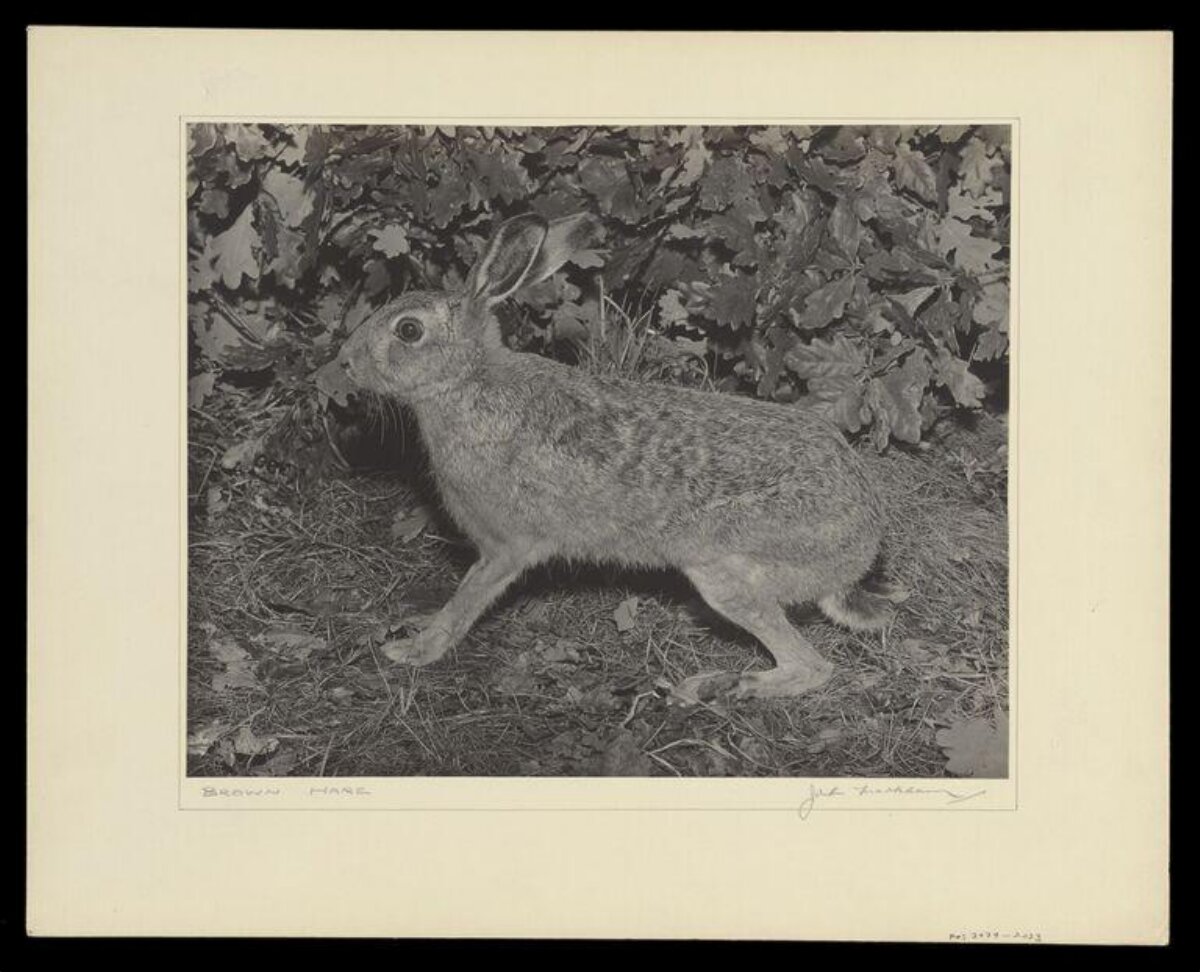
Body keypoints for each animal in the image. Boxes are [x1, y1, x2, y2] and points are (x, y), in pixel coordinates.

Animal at [335, 213, 892, 699]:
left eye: (408, 330)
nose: (345, 362)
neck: (468, 382)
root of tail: (859, 550)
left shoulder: (506, 546)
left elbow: (466, 599)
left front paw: (414, 650)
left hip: (726, 571)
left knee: (812, 666)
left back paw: (721, 686)